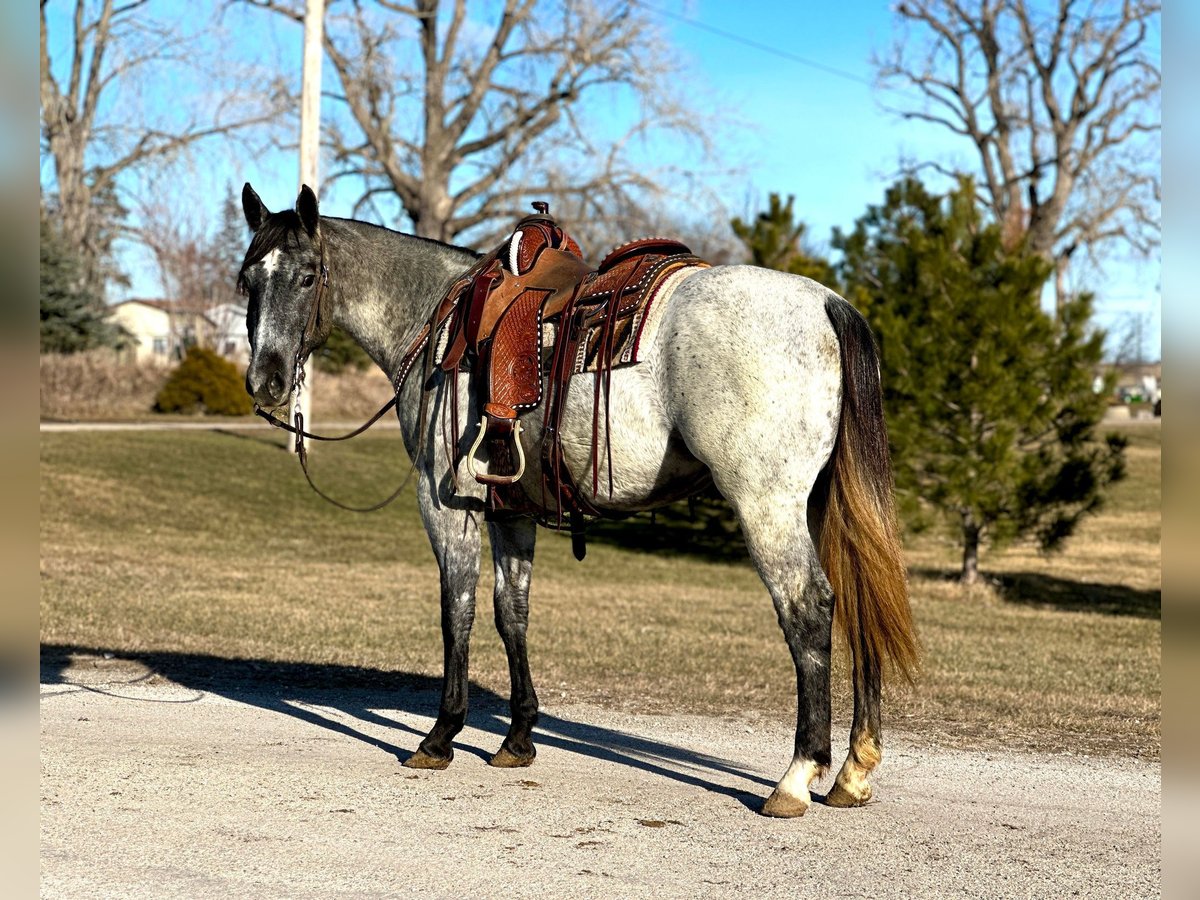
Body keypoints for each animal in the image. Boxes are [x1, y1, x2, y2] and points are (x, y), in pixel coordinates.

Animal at [238, 183, 921, 816]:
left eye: (307, 276)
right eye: (248, 281)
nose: (265, 381)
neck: (435, 320)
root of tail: (828, 303)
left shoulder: (446, 505)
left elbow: (457, 610)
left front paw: (440, 737)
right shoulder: (510, 509)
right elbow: (511, 611)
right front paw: (516, 738)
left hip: (767, 505)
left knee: (808, 607)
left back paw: (797, 776)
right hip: (820, 505)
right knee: (854, 601)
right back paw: (853, 772)